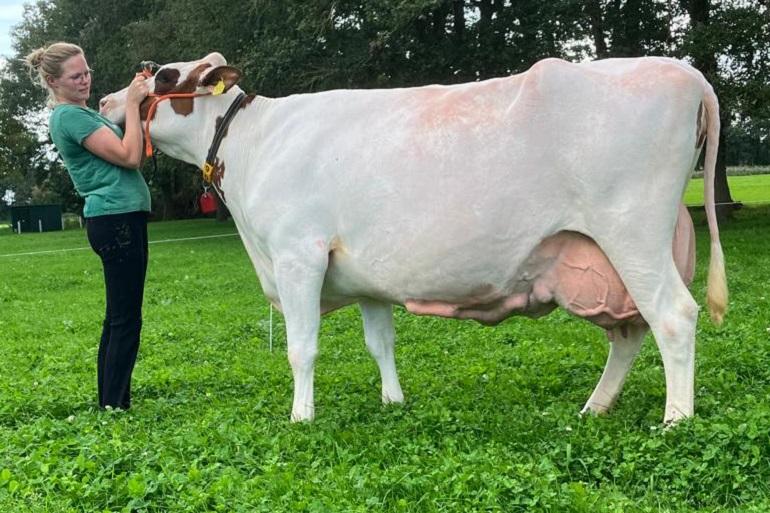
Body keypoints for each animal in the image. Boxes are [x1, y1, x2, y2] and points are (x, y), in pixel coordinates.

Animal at [99, 54, 724, 424]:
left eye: (159, 77)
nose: (105, 102)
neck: (253, 142)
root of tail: (684, 71)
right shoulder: (365, 274)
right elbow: (381, 343)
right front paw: (393, 402)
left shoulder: (298, 255)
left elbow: (303, 348)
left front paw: (302, 418)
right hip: (605, 257)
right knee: (629, 331)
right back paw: (595, 407)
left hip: (633, 231)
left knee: (673, 316)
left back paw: (676, 418)